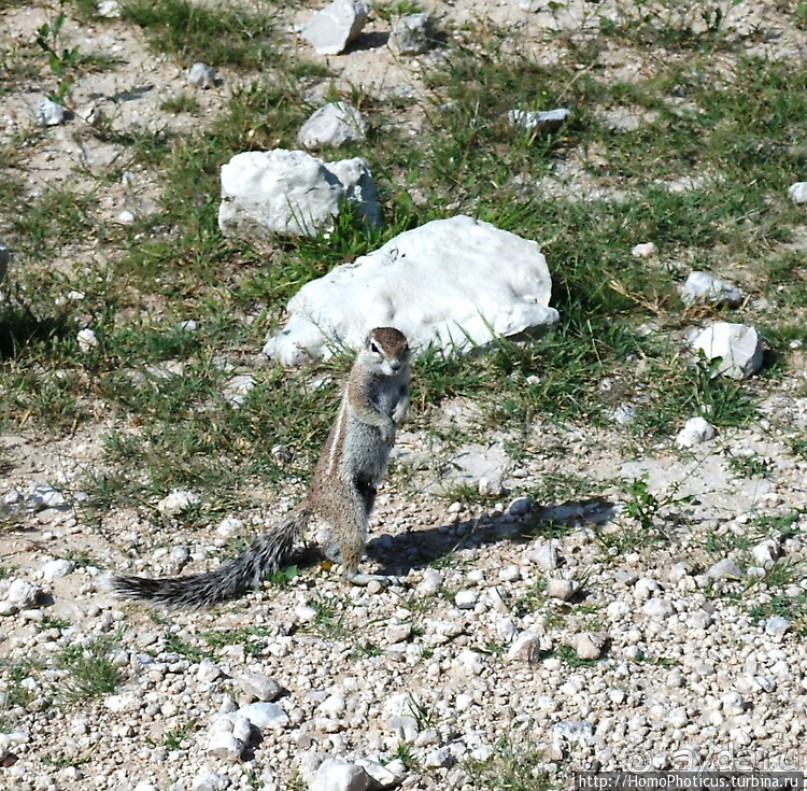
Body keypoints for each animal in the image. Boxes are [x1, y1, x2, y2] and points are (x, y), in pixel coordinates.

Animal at [113, 326, 410, 608]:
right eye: (374, 347)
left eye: (405, 346)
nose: (396, 364)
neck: (387, 378)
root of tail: (313, 498)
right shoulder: (357, 388)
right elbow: (367, 410)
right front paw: (387, 425)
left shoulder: (405, 383)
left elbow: (405, 398)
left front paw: (399, 415)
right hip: (347, 504)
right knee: (348, 549)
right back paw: (365, 575)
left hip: (366, 494)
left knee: (333, 545)